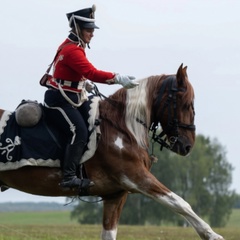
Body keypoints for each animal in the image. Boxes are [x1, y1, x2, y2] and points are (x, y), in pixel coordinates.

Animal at [0, 64, 223, 240]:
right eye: (186, 103)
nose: (187, 146)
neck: (122, 128)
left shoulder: (115, 195)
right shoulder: (137, 177)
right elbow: (179, 202)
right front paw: (211, 234)